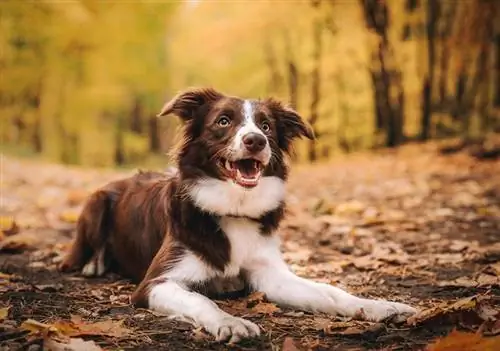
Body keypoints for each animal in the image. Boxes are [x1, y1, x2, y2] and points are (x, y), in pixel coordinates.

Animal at [59, 88, 418, 344]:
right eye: (223, 121)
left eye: (266, 126)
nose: (255, 140)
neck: (233, 207)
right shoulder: (156, 283)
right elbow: (202, 301)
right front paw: (231, 322)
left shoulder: (269, 275)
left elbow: (329, 292)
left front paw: (380, 306)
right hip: (96, 202)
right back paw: (93, 265)